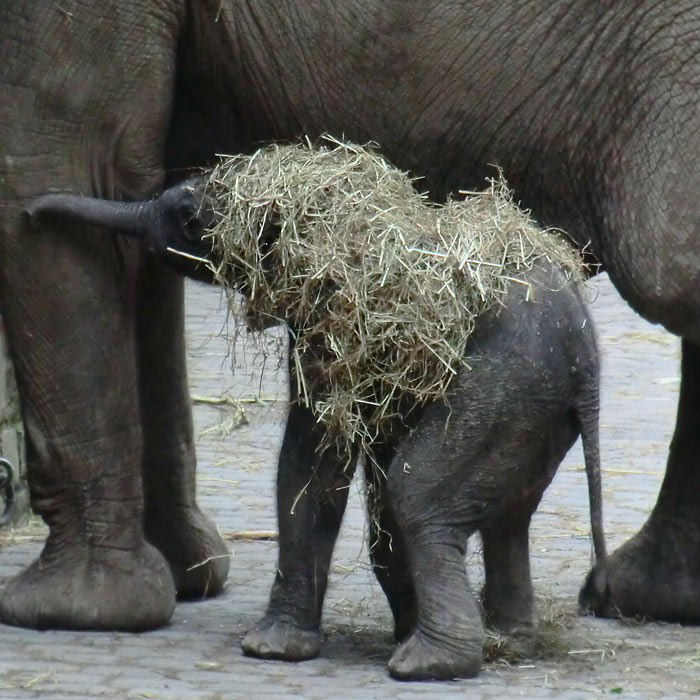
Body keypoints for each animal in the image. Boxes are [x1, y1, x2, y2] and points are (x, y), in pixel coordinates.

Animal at [27, 156, 608, 680]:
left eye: (186, 216)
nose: (30, 211)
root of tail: (586, 360)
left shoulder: (324, 315)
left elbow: (311, 463)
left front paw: (267, 651)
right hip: (533, 414)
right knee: (506, 518)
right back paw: (504, 644)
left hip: (502, 390)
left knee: (420, 495)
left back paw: (429, 663)